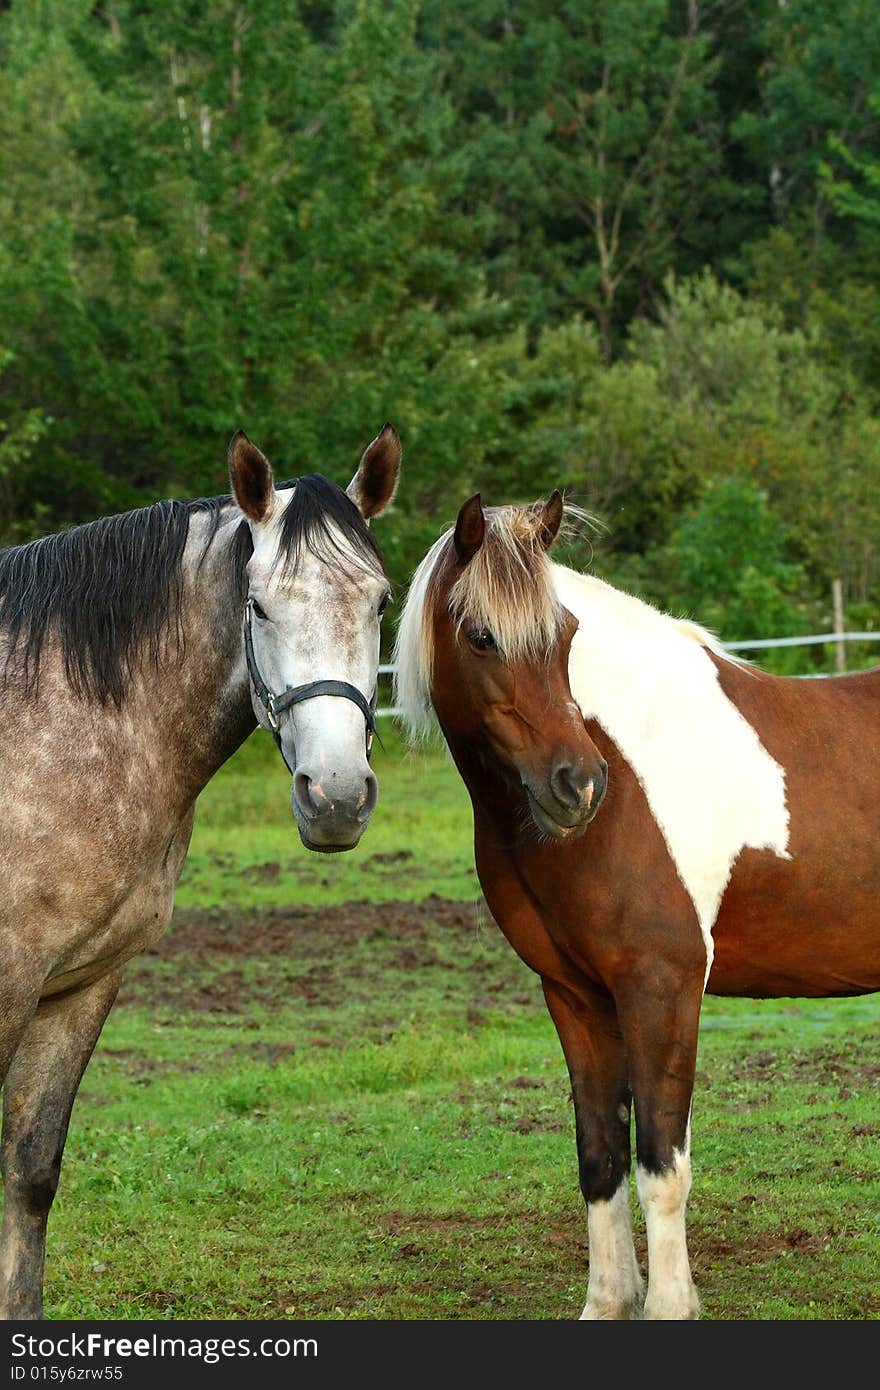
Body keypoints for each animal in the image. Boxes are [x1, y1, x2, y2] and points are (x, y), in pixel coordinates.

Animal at [392, 494, 878, 1317]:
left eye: (567, 636)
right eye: (481, 637)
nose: (576, 784)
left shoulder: (661, 986)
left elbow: (661, 1164)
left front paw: (670, 1306)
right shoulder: (576, 995)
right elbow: (601, 1157)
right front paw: (609, 1301)